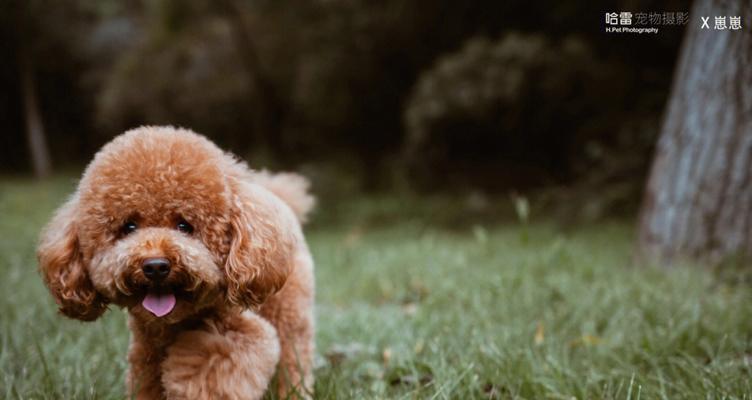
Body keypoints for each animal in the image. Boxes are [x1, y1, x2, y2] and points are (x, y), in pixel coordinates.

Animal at [37, 126, 314, 398]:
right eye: (129, 227)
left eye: (184, 226)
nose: (156, 266)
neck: (173, 324)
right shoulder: (145, 357)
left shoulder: (240, 336)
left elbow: (210, 372)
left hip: (288, 313)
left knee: (293, 357)